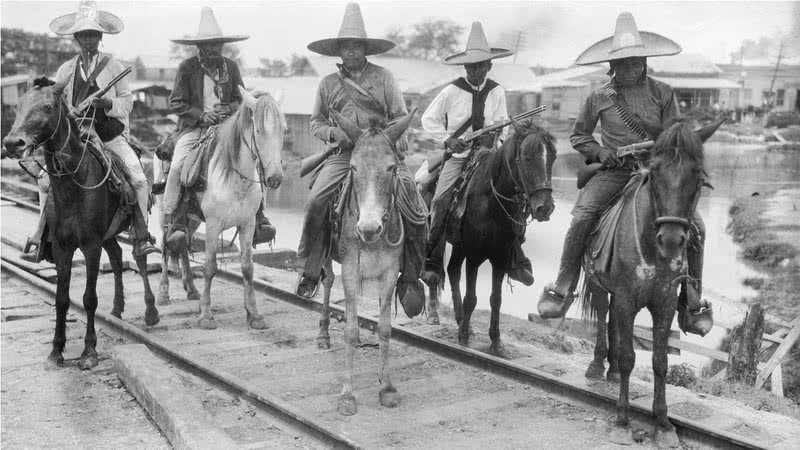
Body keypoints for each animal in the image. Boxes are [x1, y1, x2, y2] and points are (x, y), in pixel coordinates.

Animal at [3, 78, 159, 370]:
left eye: (48, 107)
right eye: (18, 106)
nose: (11, 143)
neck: (72, 185)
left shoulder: (91, 246)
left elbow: (88, 298)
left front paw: (89, 351)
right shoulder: (62, 247)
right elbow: (62, 298)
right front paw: (56, 350)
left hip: (131, 226)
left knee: (139, 258)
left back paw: (151, 310)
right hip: (108, 235)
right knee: (117, 257)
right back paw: (117, 307)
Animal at [158, 87, 286, 330]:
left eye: (283, 129)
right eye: (258, 130)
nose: (275, 178)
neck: (235, 179)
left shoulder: (248, 224)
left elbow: (247, 268)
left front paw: (254, 314)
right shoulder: (213, 225)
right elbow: (210, 267)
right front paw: (206, 315)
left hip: (192, 218)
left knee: (182, 244)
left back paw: (191, 289)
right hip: (165, 212)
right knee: (166, 246)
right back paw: (163, 293)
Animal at [318, 110, 416, 414]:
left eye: (391, 168)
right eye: (353, 168)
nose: (368, 228)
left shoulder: (389, 273)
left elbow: (384, 329)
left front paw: (387, 387)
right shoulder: (350, 269)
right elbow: (348, 330)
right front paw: (347, 394)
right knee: (327, 282)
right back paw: (323, 334)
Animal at [424, 120, 556, 356]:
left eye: (552, 158)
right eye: (527, 157)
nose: (545, 208)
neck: (491, 200)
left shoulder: (500, 258)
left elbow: (496, 299)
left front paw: (495, 342)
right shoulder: (475, 256)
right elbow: (471, 298)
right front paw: (464, 337)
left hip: (459, 246)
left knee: (453, 270)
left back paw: (460, 319)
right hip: (445, 237)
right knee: (436, 271)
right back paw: (436, 315)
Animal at [576, 119, 724, 446]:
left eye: (699, 175)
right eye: (654, 172)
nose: (671, 239)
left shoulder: (664, 302)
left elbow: (659, 361)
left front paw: (663, 424)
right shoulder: (627, 297)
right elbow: (630, 357)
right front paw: (622, 421)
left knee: (613, 323)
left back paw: (611, 371)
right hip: (599, 284)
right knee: (604, 315)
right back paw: (598, 365)